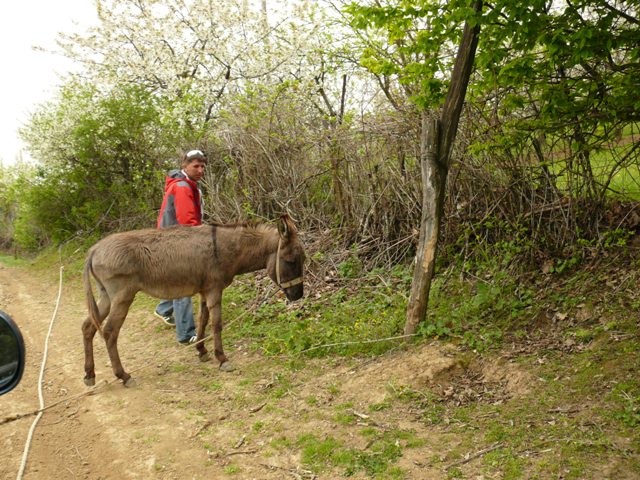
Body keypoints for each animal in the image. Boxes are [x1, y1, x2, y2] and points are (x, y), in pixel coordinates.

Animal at [82, 214, 305, 387]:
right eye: (292, 261)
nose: (298, 296)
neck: (227, 249)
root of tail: (94, 249)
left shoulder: (204, 291)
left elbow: (203, 321)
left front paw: (202, 351)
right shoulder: (214, 290)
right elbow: (216, 324)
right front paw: (222, 358)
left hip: (106, 296)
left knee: (88, 327)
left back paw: (89, 375)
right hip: (122, 297)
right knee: (109, 332)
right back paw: (124, 376)